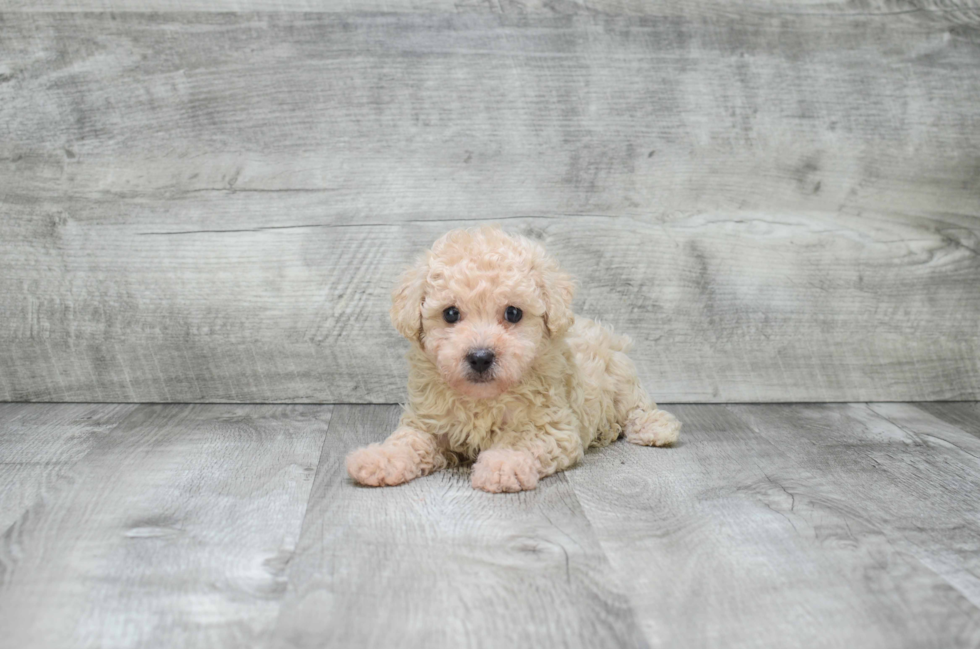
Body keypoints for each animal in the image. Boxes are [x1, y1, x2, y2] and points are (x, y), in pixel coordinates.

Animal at [346, 227, 680, 492]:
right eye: (450, 313)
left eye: (513, 313)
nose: (480, 357)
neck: (483, 398)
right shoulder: (428, 422)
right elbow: (408, 441)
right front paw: (380, 459)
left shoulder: (551, 426)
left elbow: (523, 441)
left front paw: (503, 465)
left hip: (619, 375)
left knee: (635, 405)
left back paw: (655, 427)